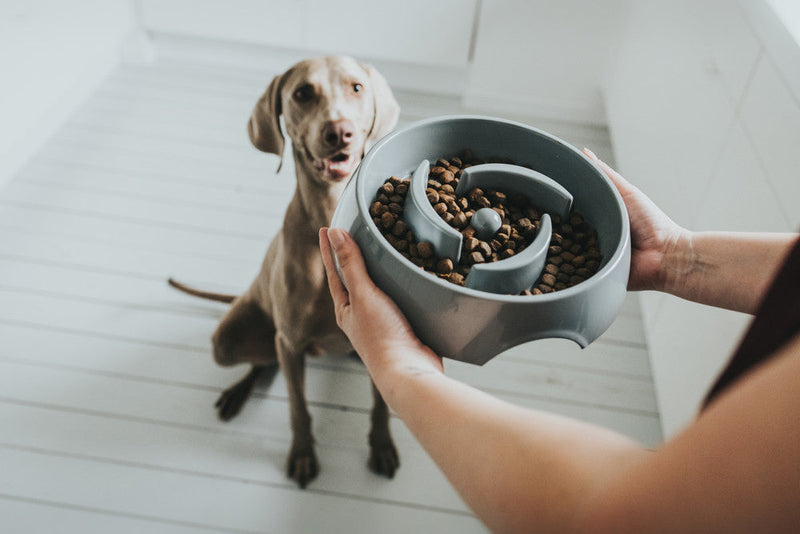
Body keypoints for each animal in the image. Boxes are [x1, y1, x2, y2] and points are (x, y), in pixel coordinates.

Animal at [173, 55, 404, 490]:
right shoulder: (292, 341)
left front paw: (381, 445)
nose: (338, 132)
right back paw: (238, 392)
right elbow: (298, 407)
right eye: (302, 93)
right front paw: (302, 454)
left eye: (356, 88)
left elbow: (382, 402)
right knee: (262, 360)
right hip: (231, 339)